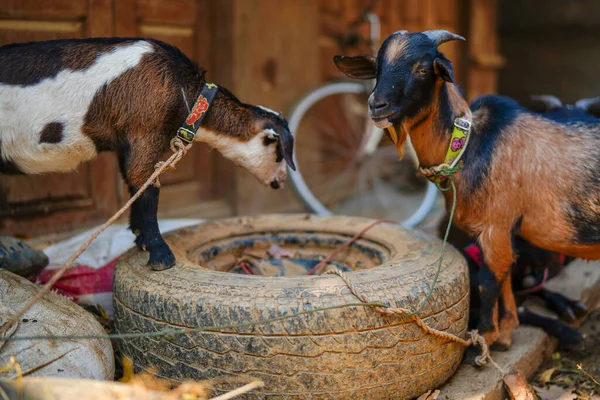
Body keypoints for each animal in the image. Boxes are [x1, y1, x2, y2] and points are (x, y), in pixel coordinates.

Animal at [0, 37, 296, 270]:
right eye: (278, 152)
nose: (280, 182)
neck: (186, 94)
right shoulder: (144, 130)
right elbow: (148, 186)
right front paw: (161, 255)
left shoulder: (128, 144)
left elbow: (135, 186)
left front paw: (140, 239)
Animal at [332, 30, 600, 350]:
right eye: (377, 68)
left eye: (423, 69)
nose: (376, 105)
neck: (468, 145)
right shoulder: (502, 234)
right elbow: (506, 282)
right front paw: (506, 334)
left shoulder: (496, 226)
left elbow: (487, 283)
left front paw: (484, 341)